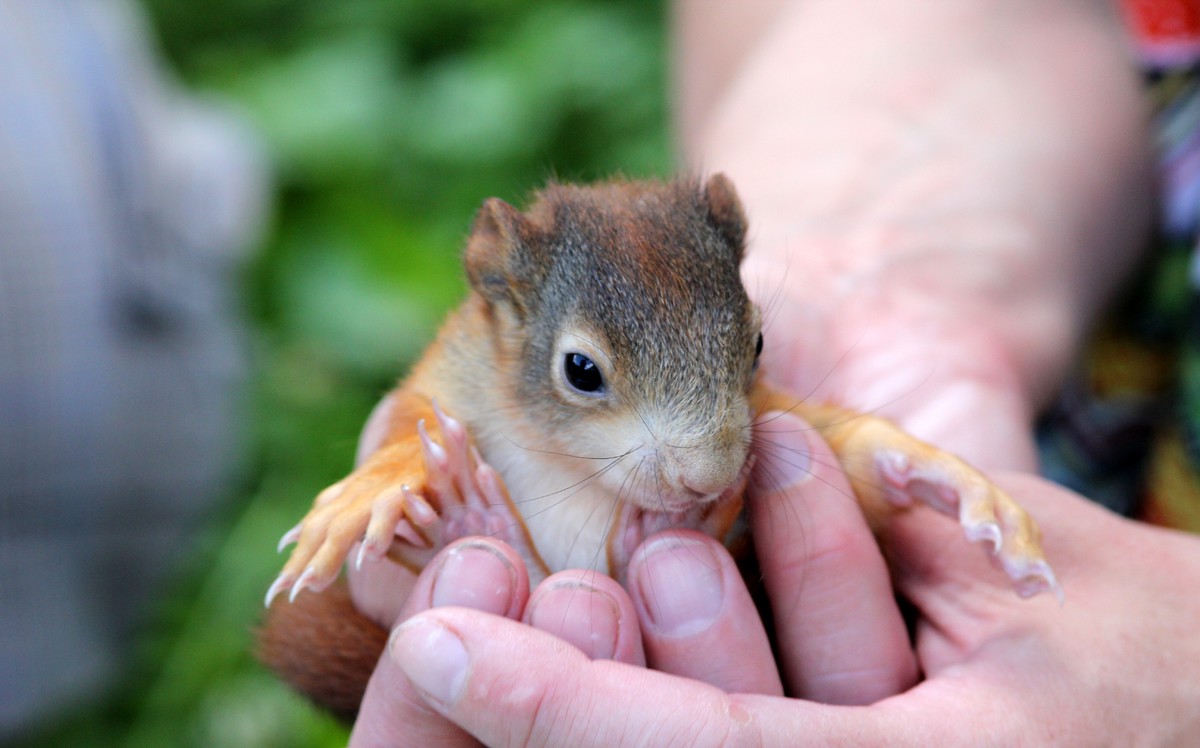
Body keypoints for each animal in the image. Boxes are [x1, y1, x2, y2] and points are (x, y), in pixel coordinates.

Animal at [255, 174, 1060, 720]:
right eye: (581, 370)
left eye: (758, 341)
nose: (709, 479)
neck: (571, 467)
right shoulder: (447, 382)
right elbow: (409, 426)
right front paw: (371, 491)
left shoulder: (772, 411)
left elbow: (851, 447)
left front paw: (946, 478)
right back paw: (471, 518)